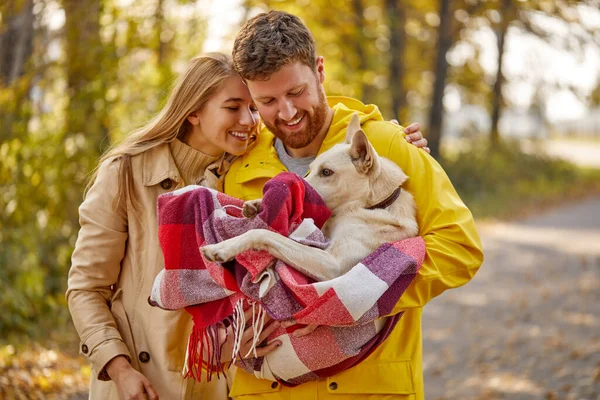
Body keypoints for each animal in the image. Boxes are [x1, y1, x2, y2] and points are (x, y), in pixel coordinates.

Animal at [202, 112, 418, 282]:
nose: (296, 184)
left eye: (326, 172)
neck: (369, 205)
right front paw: (256, 204)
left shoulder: (333, 265)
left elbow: (263, 233)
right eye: (310, 169)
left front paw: (221, 248)